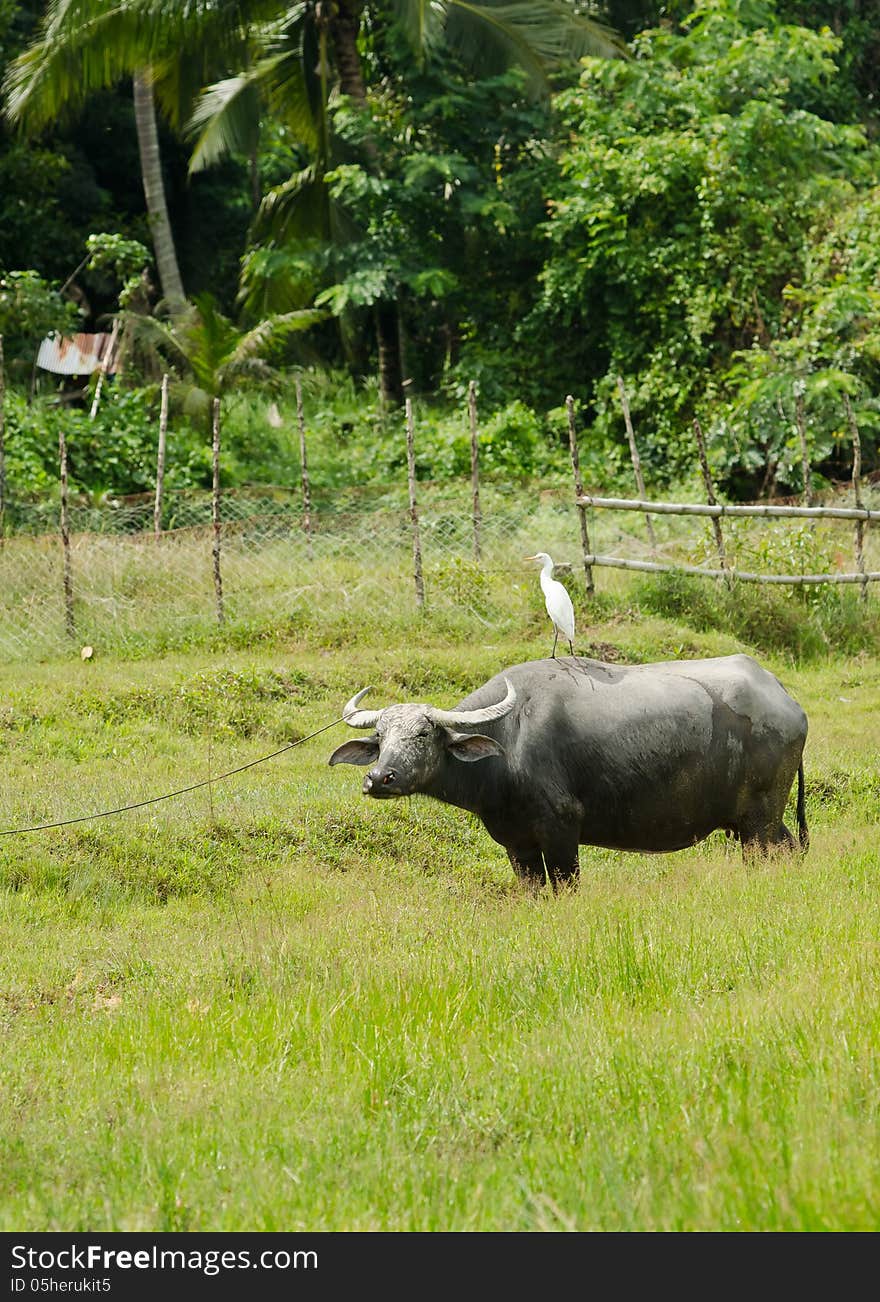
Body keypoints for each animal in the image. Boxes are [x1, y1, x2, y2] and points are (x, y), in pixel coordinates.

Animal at [326, 656, 807, 890]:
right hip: (758, 820)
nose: (380, 779)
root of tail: (784, 697)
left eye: (424, 733)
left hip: (760, 820)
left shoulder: (561, 831)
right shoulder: (517, 844)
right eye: (380, 737)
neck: (510, 741)